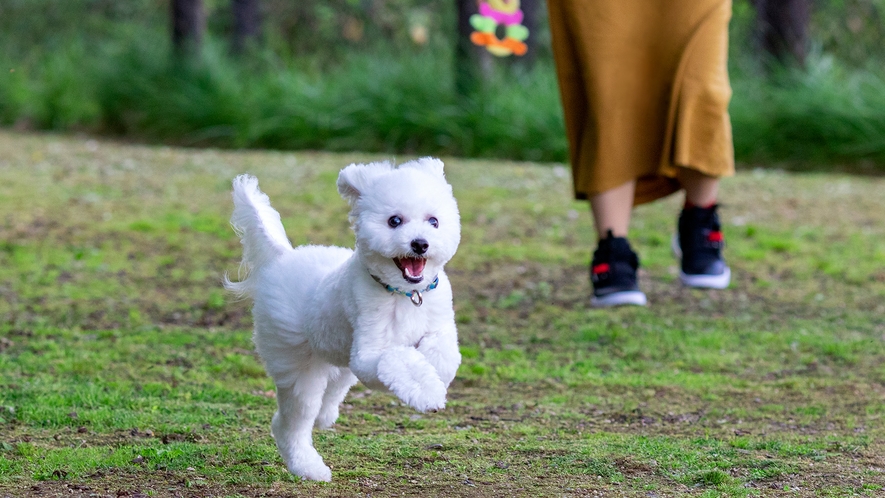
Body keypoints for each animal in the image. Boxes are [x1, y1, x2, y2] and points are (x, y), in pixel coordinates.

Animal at [224, 158, 462, 480]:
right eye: (394, 221)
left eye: (434, 221)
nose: (420, 244)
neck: (404, 294)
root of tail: (283, 258)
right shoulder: (368, 355)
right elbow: (397, 359)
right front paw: (426, 392)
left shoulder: (439, 325)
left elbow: (444, 355)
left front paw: (435, 377)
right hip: (298, 367)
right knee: (291, 423)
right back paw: (308, 466)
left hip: (337, 358)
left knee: (331, 391)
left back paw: (325, 417)